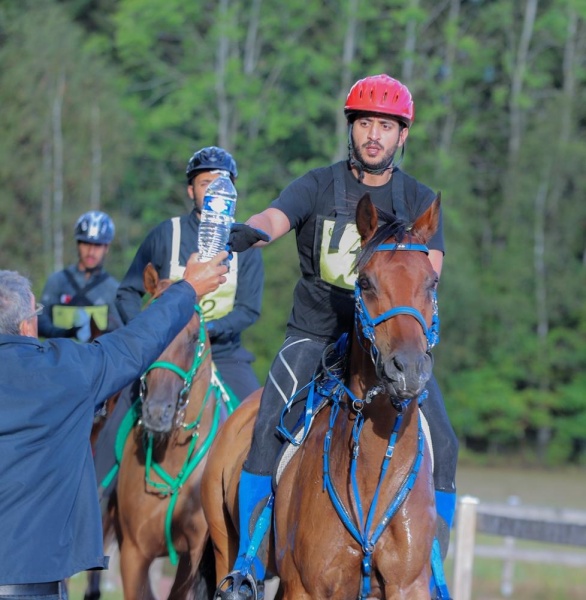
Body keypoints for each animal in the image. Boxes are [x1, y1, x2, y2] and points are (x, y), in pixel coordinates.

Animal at [201, 195, 442, 596]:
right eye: (366, 282)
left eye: (432, 282)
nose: (407, 368)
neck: (370, 470)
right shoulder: (308, 589)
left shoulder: (407, 586)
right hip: (225, 545)